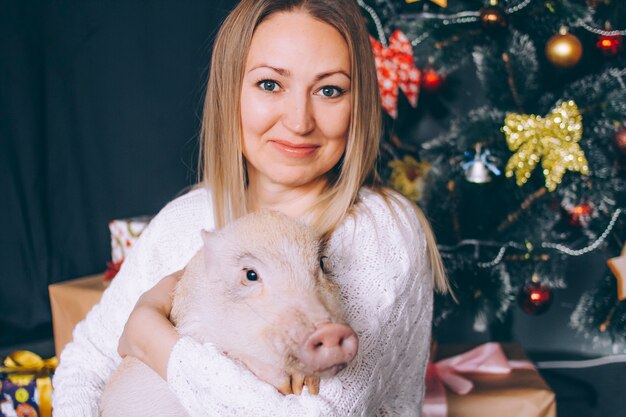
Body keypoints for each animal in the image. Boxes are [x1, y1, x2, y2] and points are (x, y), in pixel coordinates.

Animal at [100, 211, 358, 416]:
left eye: (322, 263)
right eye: (250, 275)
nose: (331, 331)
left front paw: (307, 385)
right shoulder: (195, 329)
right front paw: (288, 386)